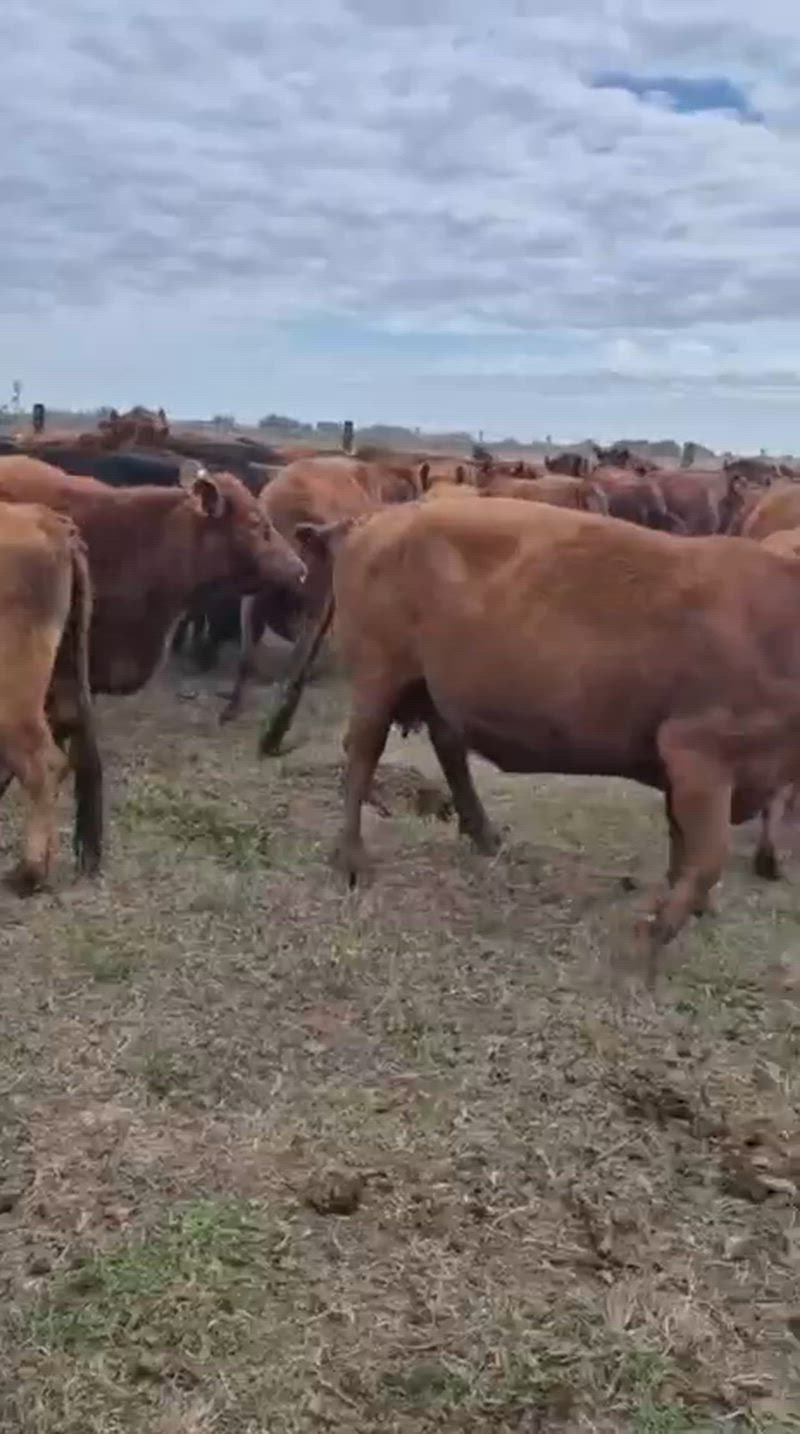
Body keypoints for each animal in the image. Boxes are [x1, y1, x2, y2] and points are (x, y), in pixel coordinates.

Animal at [274, 498, 800, 980]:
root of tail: (377, 518)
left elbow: (683, 843)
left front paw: (690, 907)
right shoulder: (698, 752)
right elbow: (707, 856)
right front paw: (652, 936)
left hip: (434, 686)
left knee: (447, 746)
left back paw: (483, 833)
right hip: (378, 675)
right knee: (363, 754)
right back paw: (351, 858)